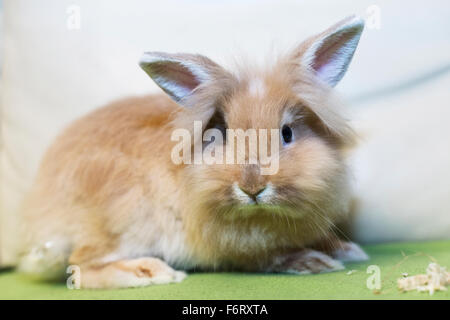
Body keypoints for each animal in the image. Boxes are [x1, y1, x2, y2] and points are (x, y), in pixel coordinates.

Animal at [18, 15, 370, 290]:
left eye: (287, 133)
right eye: (221, 133)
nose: (252, 187)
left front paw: (348, 250)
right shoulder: (236, 248)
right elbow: (269, 257)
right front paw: (314, 261)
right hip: (119, 218)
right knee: (79, 268)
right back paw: (150, 272)